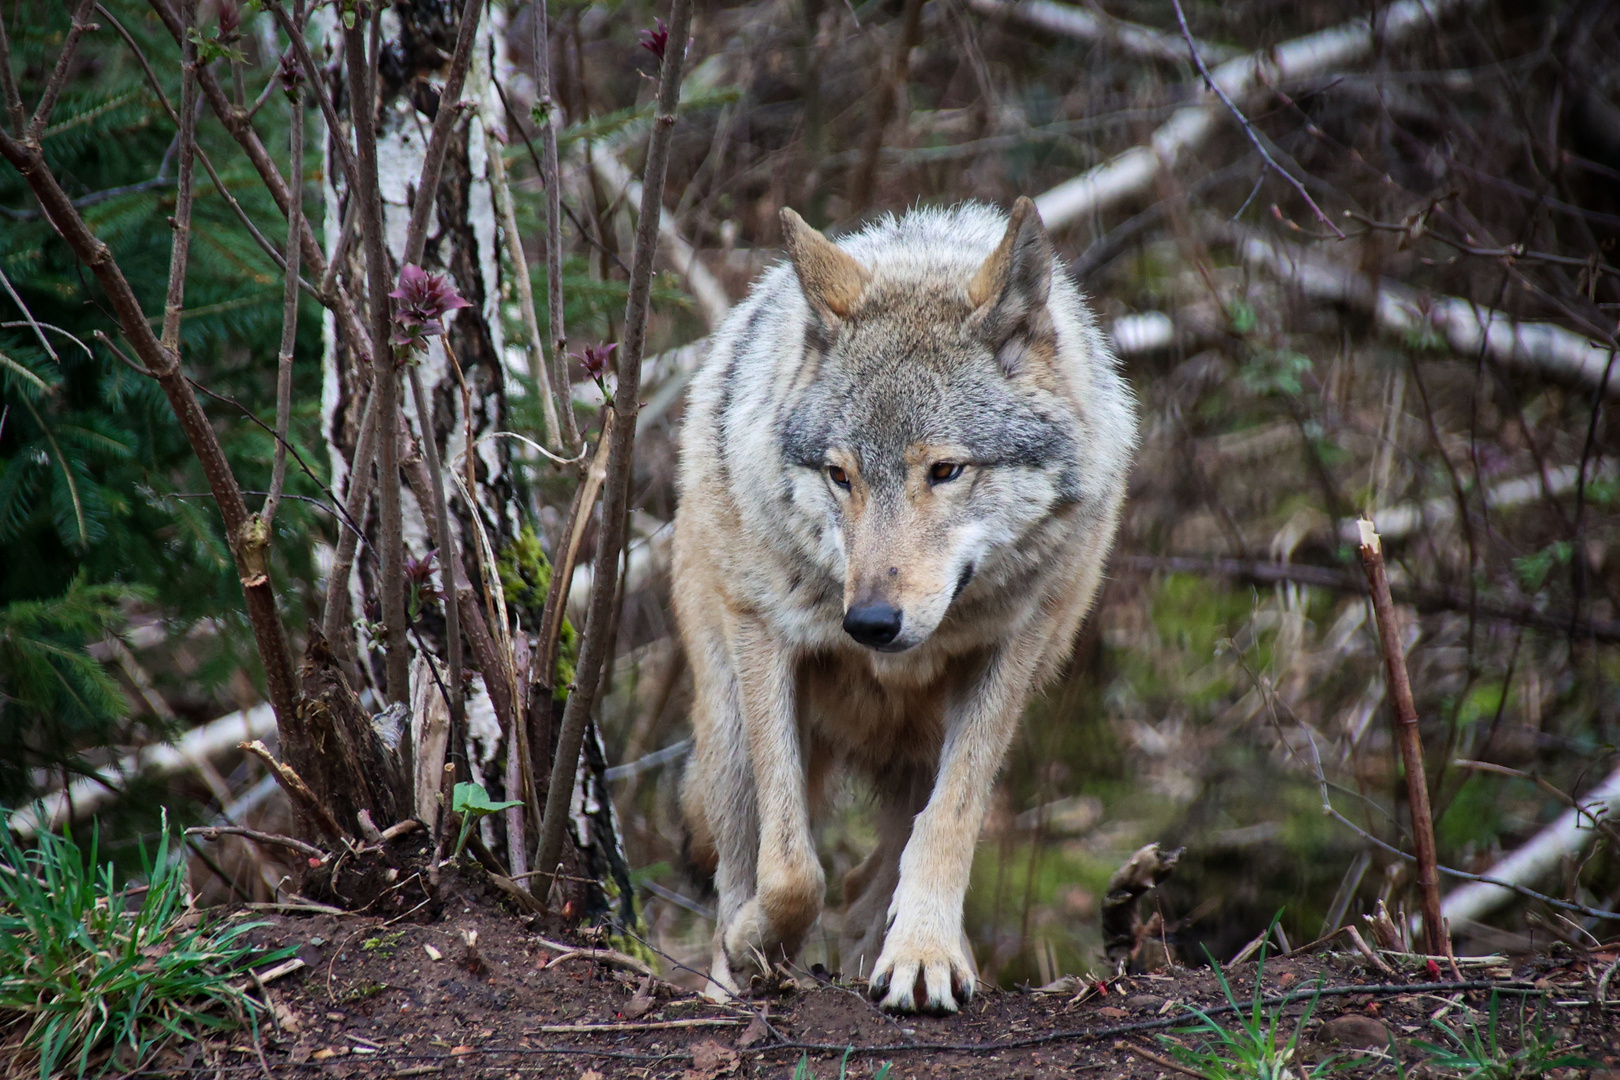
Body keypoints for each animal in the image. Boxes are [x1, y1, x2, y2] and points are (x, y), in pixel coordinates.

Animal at [670, 196, 1140, 1016]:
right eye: (840, 476)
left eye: (945, 470)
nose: (869, 624)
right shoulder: (767, 640)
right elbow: (791, 869)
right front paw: (757, 944)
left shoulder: (1009, 653)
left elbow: (948, 826)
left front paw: (923, 955)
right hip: (726, 720)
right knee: (739, 866)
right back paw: (734, 979)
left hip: (930, 736)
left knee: (875, 871)